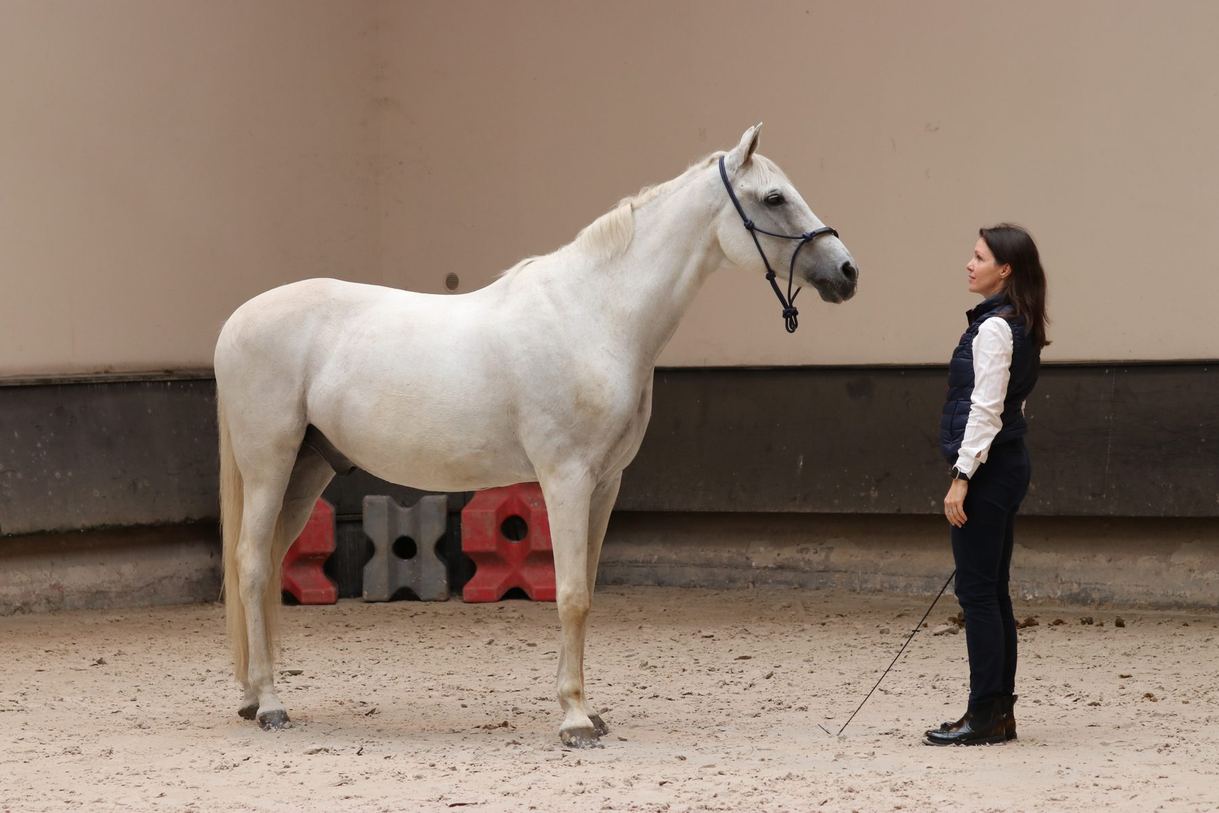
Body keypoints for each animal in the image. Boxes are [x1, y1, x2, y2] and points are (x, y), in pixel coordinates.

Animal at [213, 124, 858, 747]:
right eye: (773, 198)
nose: (847, 272)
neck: (593, 316)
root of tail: (235, 322)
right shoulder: (566, 479)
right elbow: (570, 594)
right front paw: (574, 720)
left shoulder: (605, 485)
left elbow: (587, 590)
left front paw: (587, 711)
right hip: (269, 466)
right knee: (250, 563)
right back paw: (269, 705)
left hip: (308, 469)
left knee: (265, 565)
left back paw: (250, 695)